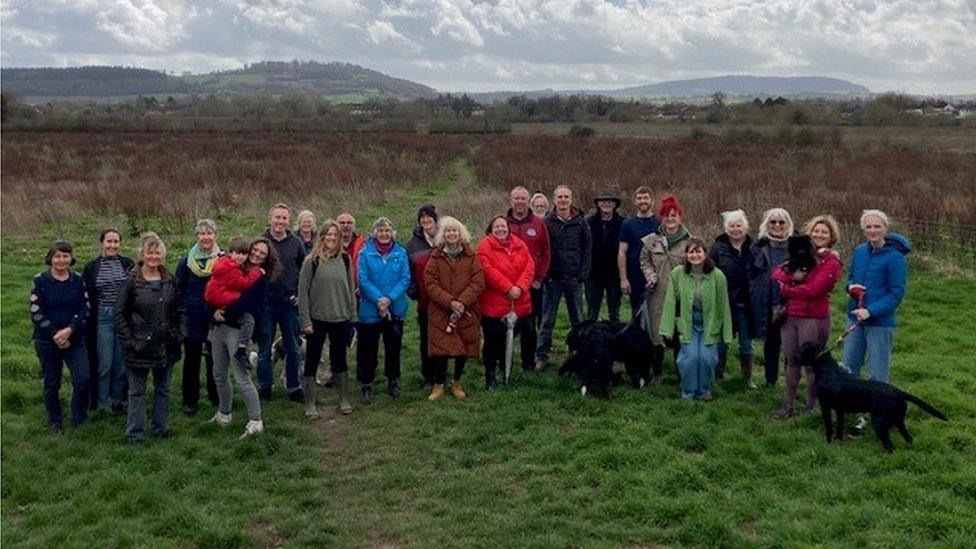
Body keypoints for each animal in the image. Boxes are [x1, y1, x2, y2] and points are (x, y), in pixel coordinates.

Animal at [796, 340, 948, 452]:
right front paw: (838, 442)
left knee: (890, 446)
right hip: (898, 420)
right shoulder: (840, 410)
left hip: (880, 423)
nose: (792, 358)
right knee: (908, 438)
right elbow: (839, 427)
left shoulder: (825, 406)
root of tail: (897, 391)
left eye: (802, 349)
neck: (827, 370)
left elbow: (828, 427)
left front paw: (828, 444)